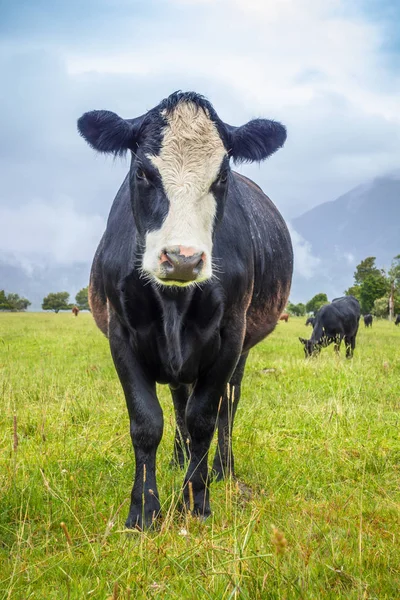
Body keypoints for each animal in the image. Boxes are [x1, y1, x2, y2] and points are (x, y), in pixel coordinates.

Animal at [77, 90, 294, 528]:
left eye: (222, 176)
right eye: (142, 172)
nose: (182, 259)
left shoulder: (230, 335)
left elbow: (204, 419)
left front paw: (196, 503)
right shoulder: (120, 334)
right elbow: (148, 422)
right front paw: (144, 511)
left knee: (228, 404)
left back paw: (222, 469)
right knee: (178, 402)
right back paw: (178, 461)